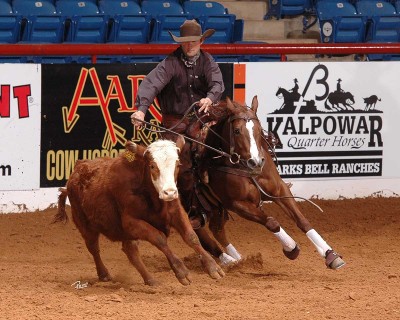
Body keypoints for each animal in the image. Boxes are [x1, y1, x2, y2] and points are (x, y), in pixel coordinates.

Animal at [52, 138, 225, 284]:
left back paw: (150, 280)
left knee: (130, 250)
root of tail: (77, 170)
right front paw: (181, 271)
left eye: (177, 165)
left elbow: (191, 236)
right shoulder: (131, 223)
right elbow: (159, 238)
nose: (169, 192)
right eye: (153, 166)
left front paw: (213, 267)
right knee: (94, 248)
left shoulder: (176, 211)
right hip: (85, 225)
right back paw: (104, 274)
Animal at [193, 95, 344, 270]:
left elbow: (302, 220)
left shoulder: (279, 189)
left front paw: (331, 255)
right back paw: (227, 260)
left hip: (215, 206)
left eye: (259, 130)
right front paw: (291, 248)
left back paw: (237, 259)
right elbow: (272, 222)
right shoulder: (237, 204)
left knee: (216, 229)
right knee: (199, 232)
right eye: (236, 131)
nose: (256, 162)